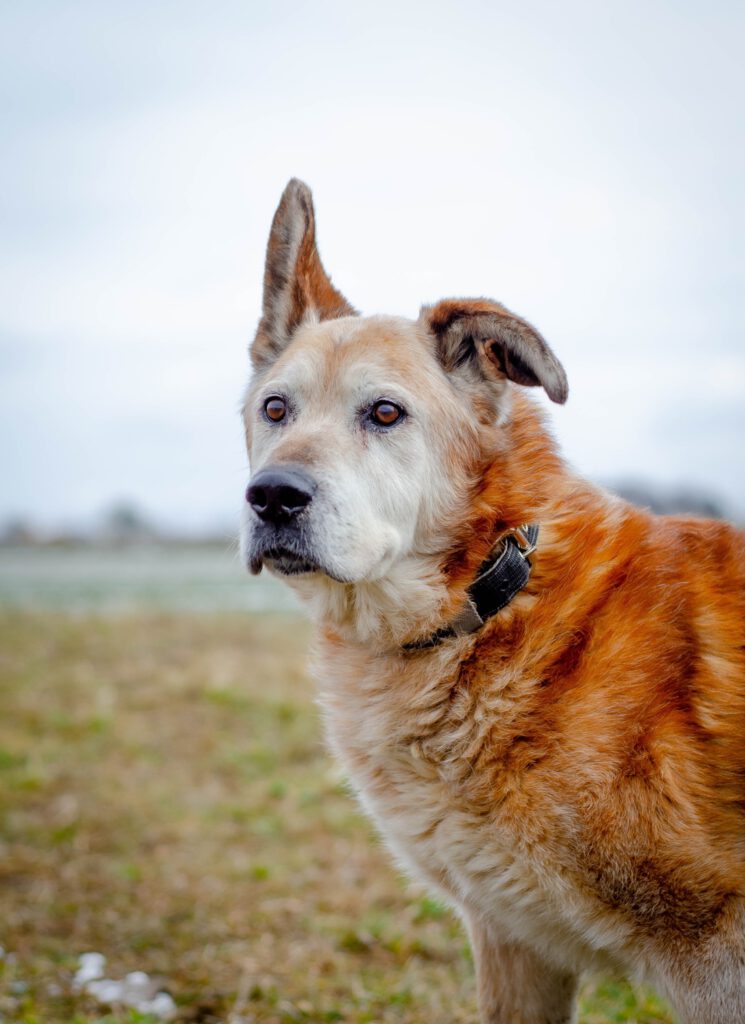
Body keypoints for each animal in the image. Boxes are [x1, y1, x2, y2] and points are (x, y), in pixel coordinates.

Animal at [240, 182, 745, 1024]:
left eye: (385, 414)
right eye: (276, 409)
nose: (272, 496)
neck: (488, 598)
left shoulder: (711, 957)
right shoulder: (515, 943)